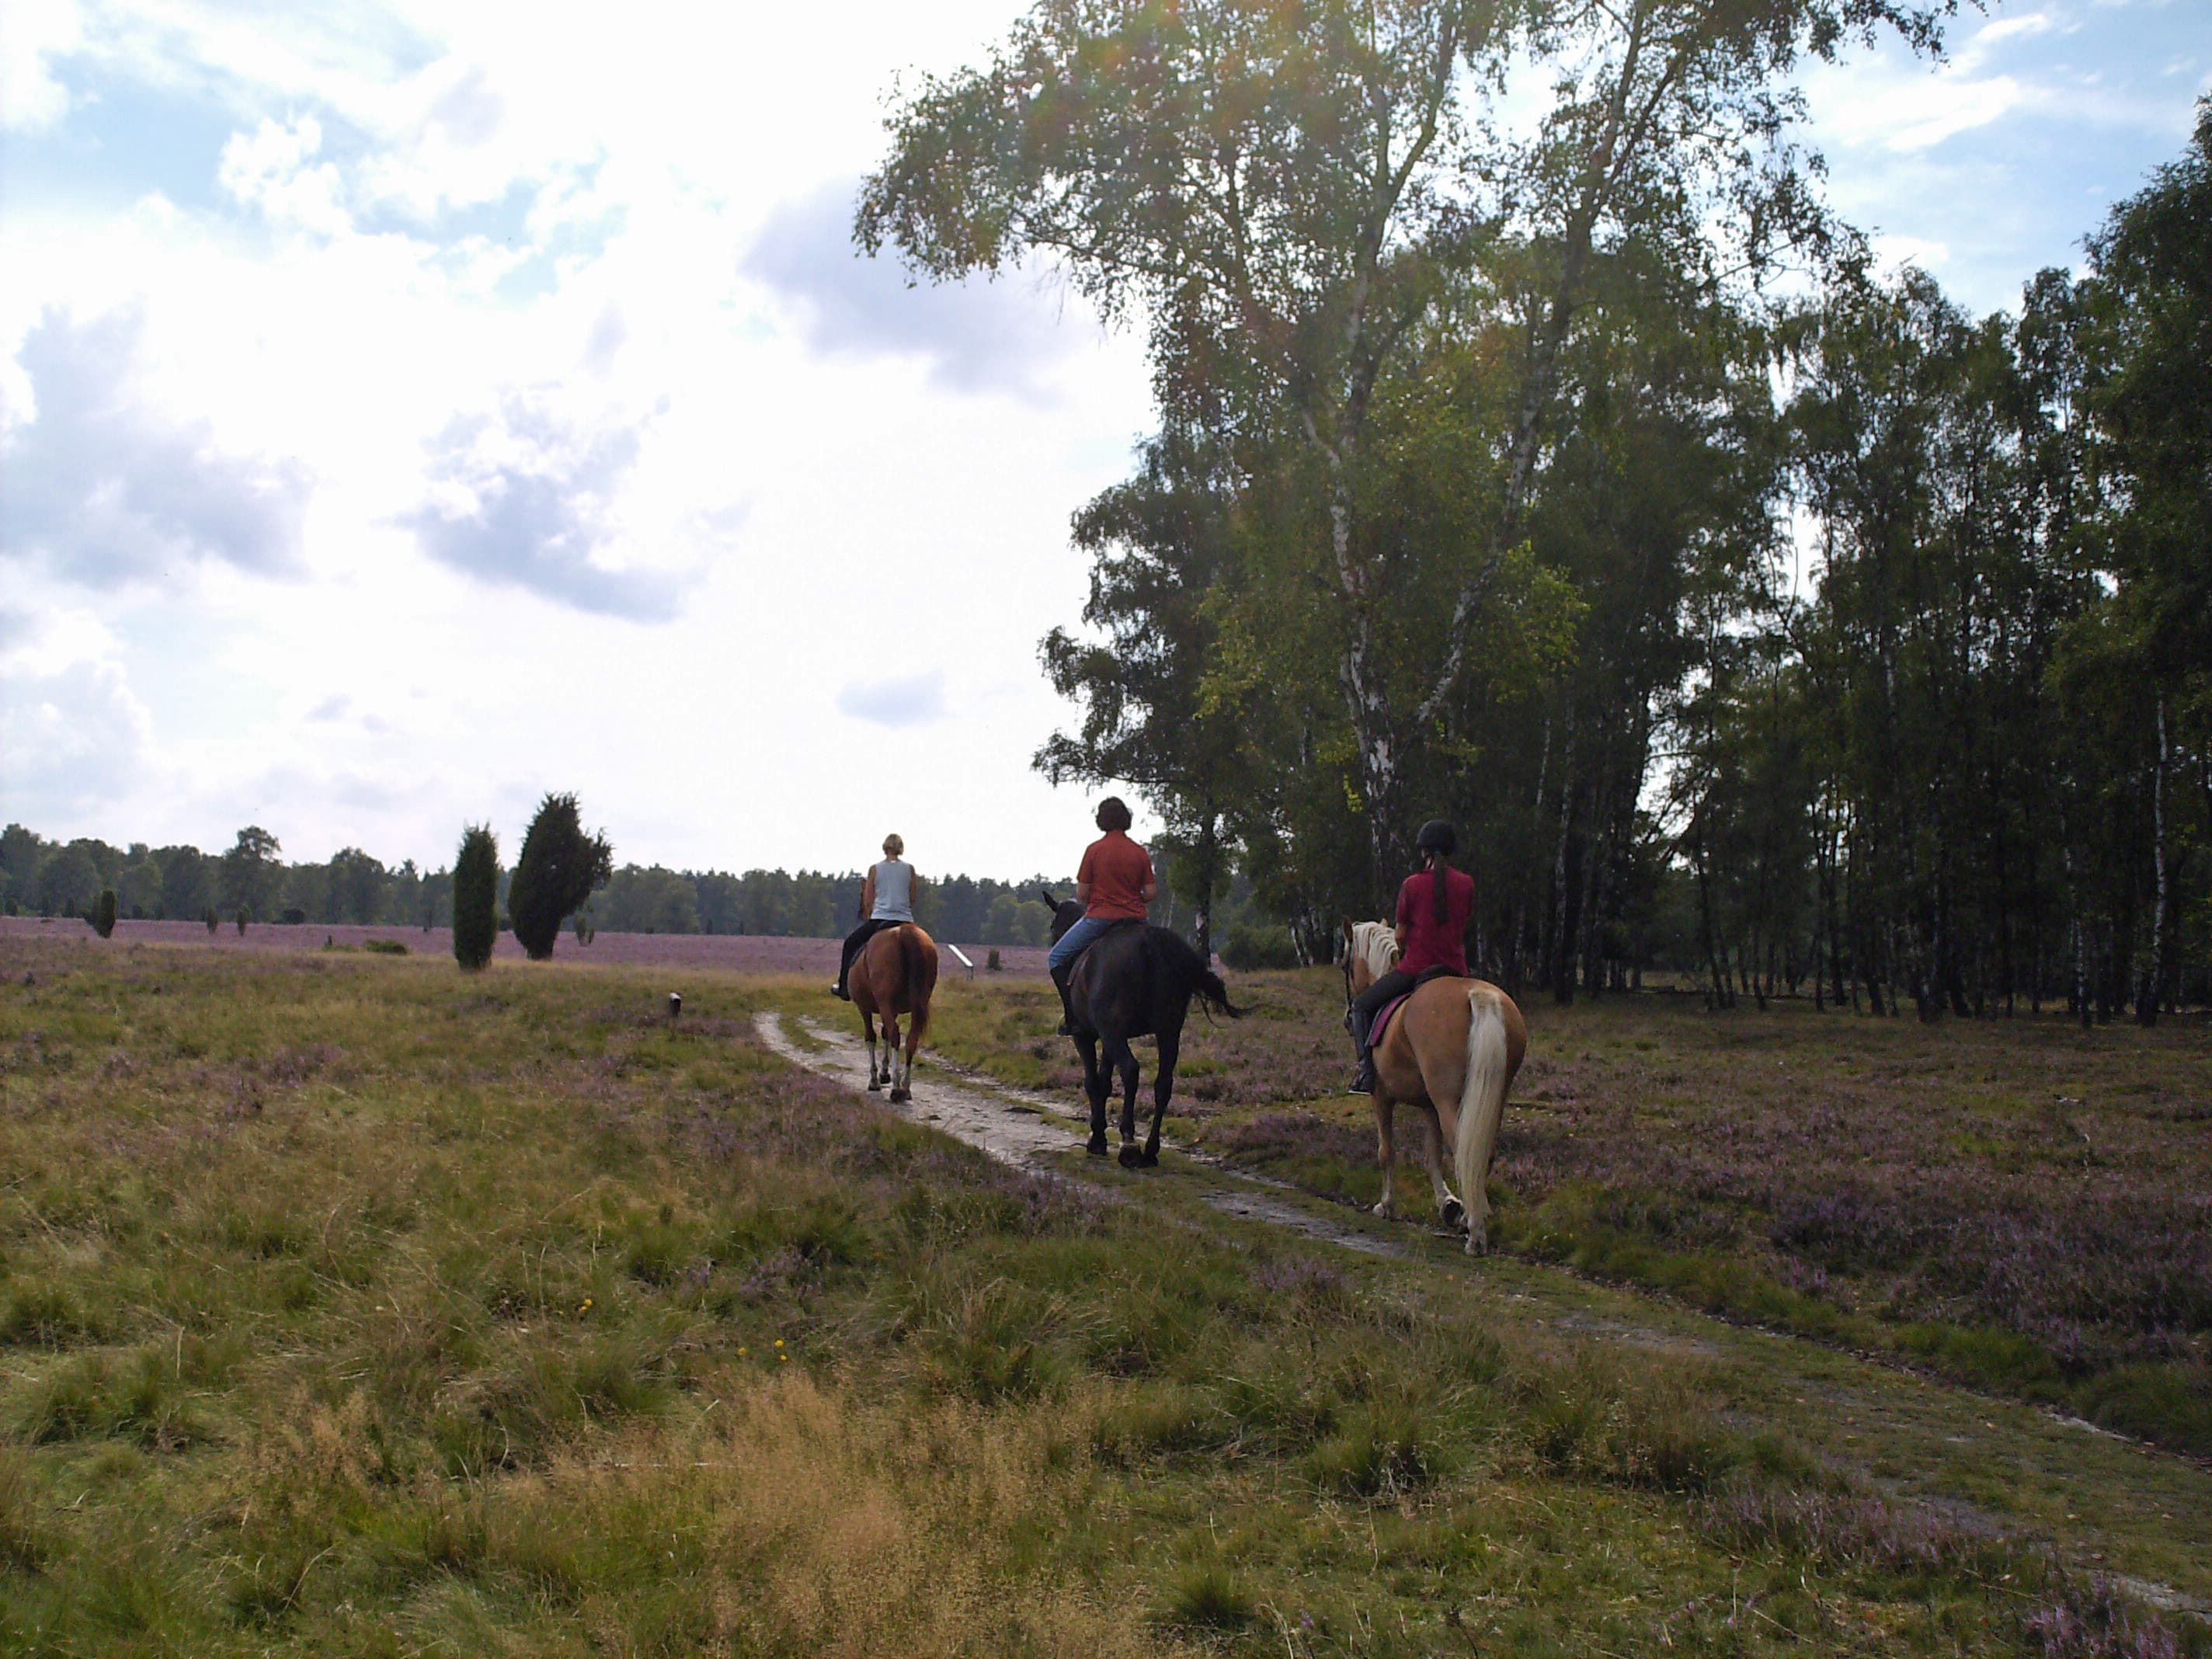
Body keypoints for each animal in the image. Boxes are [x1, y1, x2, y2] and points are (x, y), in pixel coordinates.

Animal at [849, 924, 937, 1106]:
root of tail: (905, 931)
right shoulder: (891, 1010)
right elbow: (885, 1034)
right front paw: (884, 1073)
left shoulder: (865, 1007)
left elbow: (871, 1037)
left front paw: (875, 1080)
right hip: (916, 1004)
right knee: (911, 1040)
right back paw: (906, 1088)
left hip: (884, 1002)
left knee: (896, 1036)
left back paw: (896, 1089)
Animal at [1039, 898, 1247, 1167]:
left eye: (1053, 925)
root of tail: (1150, 942)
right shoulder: (1109, 1039)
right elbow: (1105, 1082)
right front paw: (1099, 1135)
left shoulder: (1086, 1036)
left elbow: (1093, 1082)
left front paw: (1097, 1139)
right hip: (1167, 1032)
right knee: (1163, 1084)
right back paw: (1150, 1149)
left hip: (1117, 1034)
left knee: (1130, 1071)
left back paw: (1129, 1143)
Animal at [1336, 916, 1530, 1256]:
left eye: (1346, 964)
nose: (1348, 1017)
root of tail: (1480, 996)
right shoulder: (1429, 1106)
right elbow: (1433, 1155)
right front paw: (1448, 1204)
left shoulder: (1381, 1097)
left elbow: (1387, 1151)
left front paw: (1386, 1205)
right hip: (1491, 1096)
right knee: (1482, 1151)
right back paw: (1472, 1215)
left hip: (1448, 1099)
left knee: (1463, 1148)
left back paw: (1475, 1231)